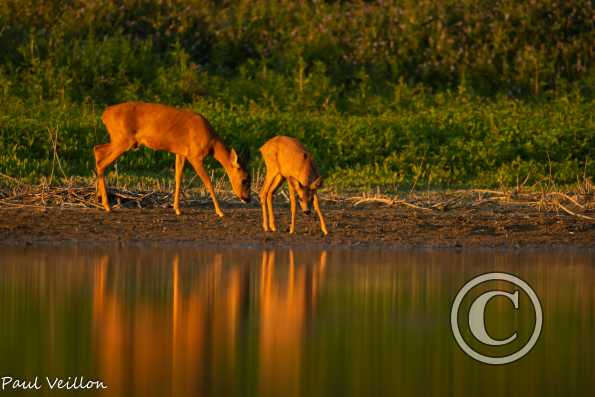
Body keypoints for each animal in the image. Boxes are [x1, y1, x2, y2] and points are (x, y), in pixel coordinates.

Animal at [93, 100, 251, 215]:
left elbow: (178, 179)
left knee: (97, 150)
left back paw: (98, 199)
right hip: (124, 139)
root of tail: (104, 114)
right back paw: (106, 205)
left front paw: (177, 209)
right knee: (101, 160)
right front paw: (220, 212)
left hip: (119, 139)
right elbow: (208, 183)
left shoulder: (181, 153)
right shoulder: (195, 155)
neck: (212, 143)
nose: (247, 199)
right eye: (244, 180)